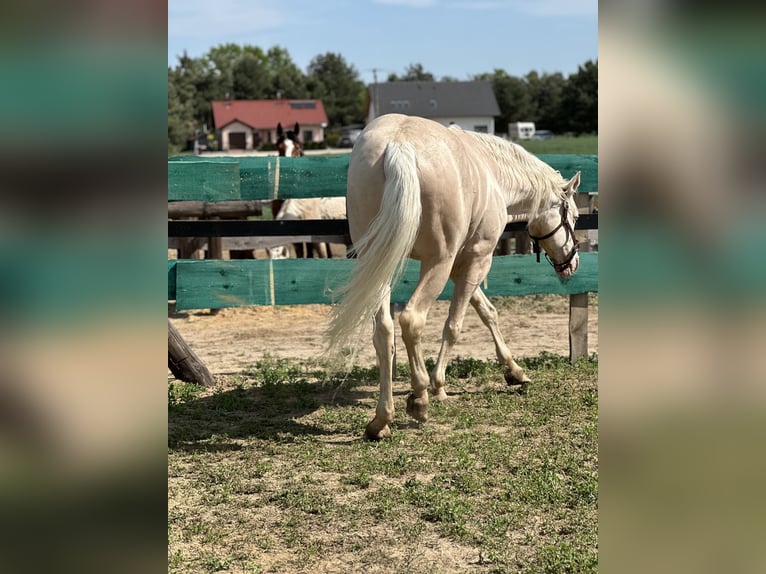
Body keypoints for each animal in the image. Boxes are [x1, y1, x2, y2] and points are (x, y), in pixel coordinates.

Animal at [326, 116, 584, 440]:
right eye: (573, 217)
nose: (572, 263)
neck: (493, 173)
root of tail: (398, 145)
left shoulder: (459, 266)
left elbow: (487, 312)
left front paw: (515, 371)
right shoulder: (476, 260)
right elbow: (455, 325)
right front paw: (438, 386)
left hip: (377, 263)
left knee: (384, 331)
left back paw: (381, 420)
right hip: (436, 263)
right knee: (412, 320)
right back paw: (419, 398)